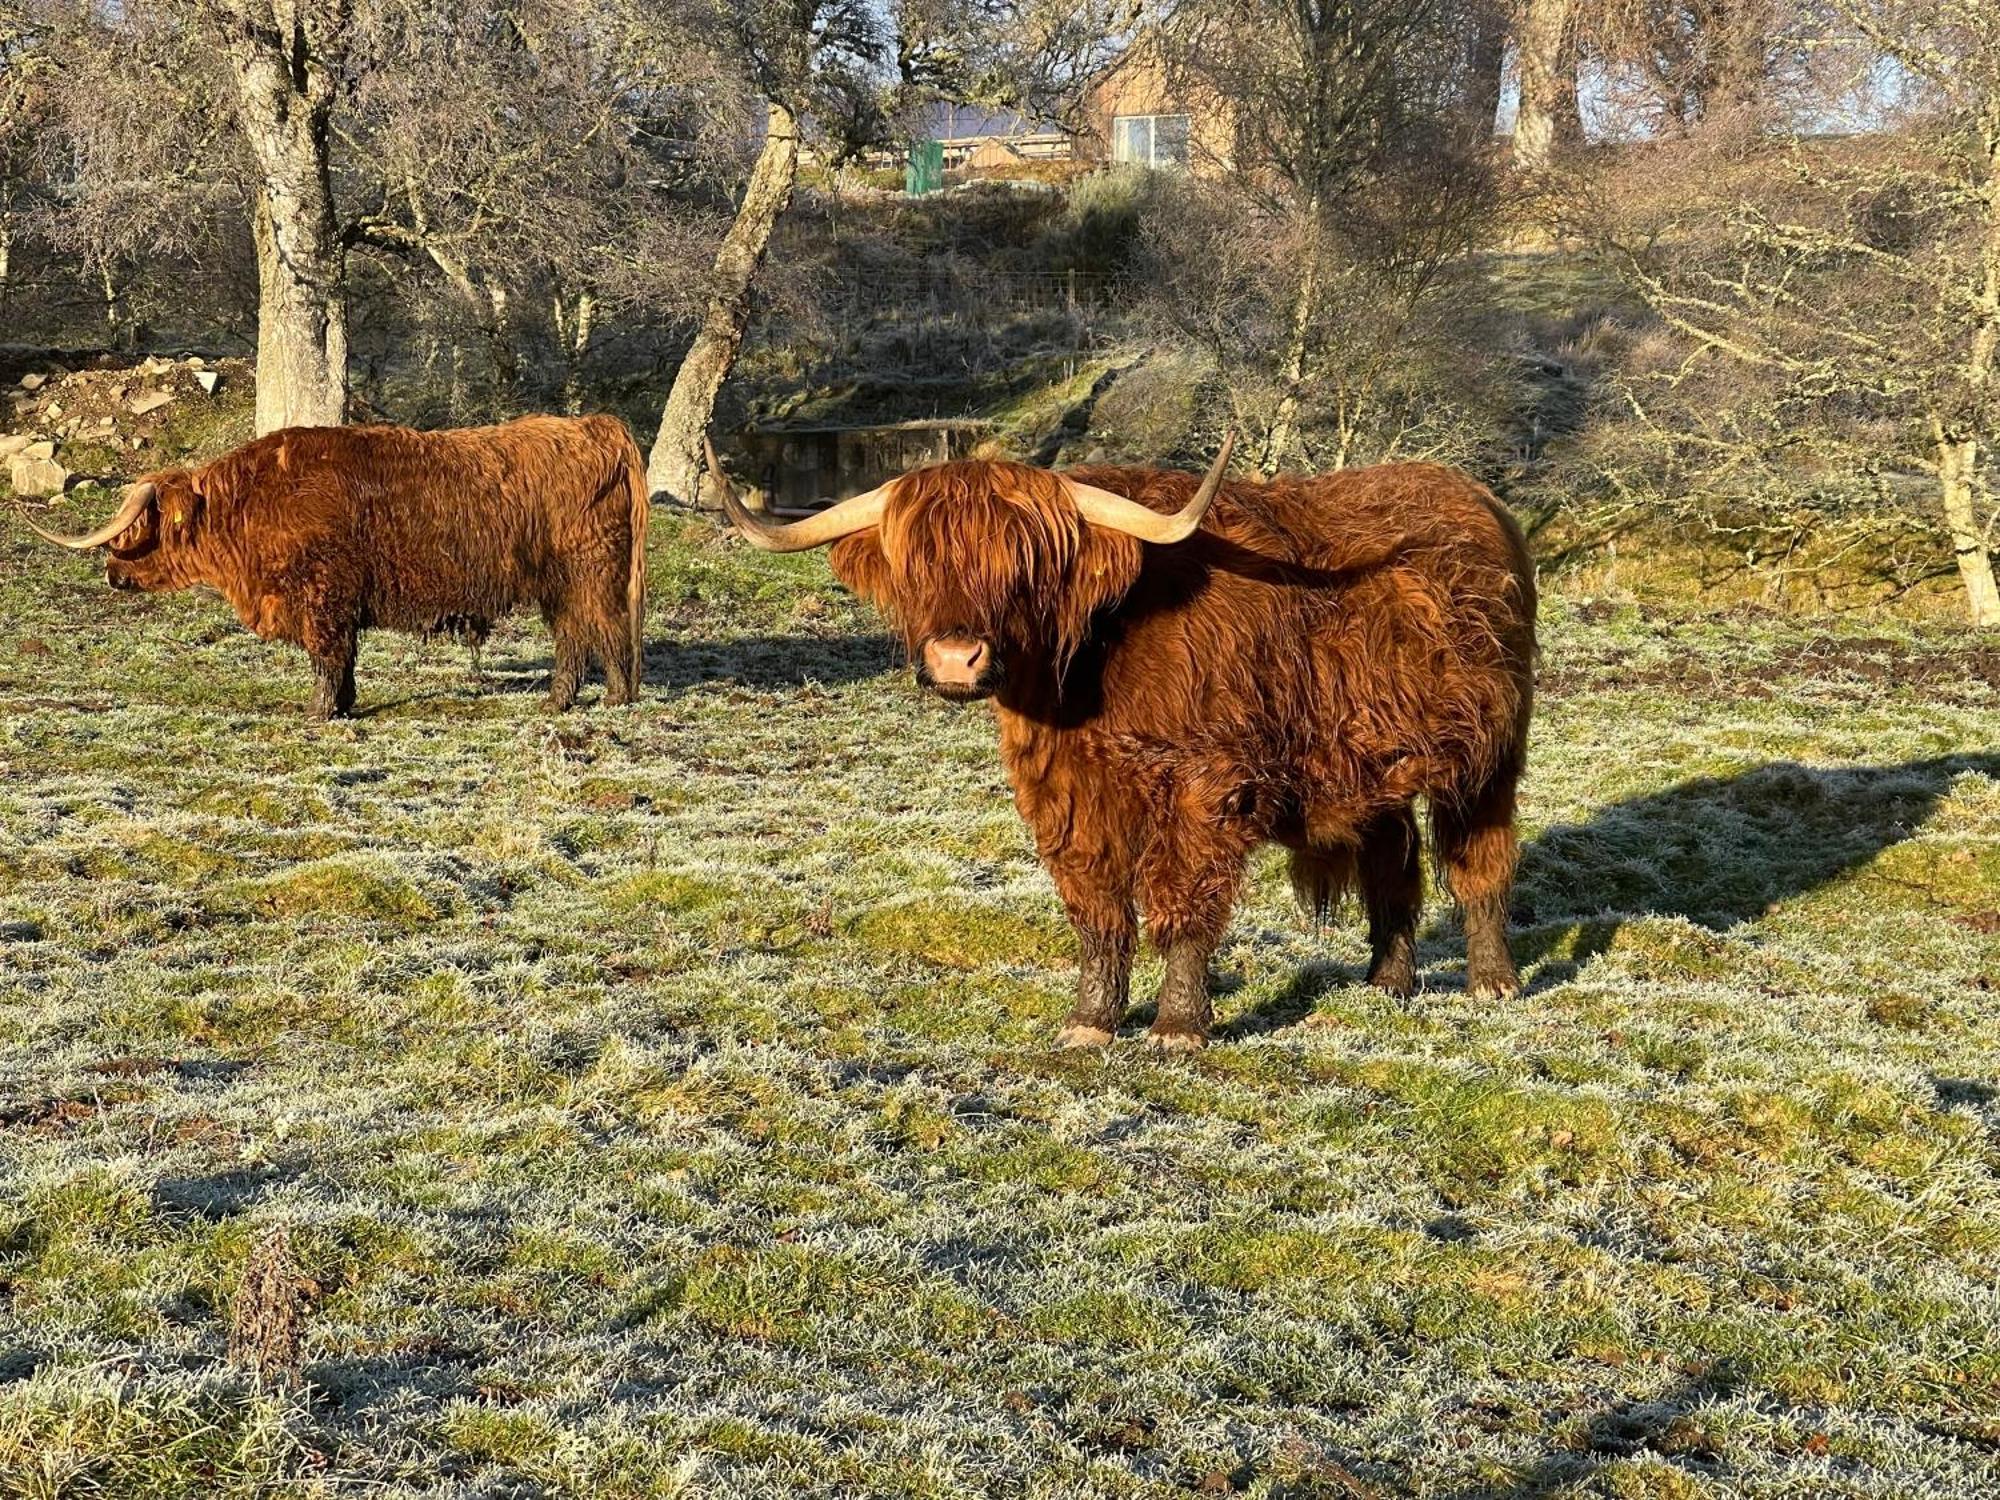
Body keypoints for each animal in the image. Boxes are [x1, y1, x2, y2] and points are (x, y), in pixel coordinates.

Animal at [23, 418, 648, 724]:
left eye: (133, 530)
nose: (111, 573)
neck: (248, 506)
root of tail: (598, 426)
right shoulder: (337, 603)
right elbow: (344, 660)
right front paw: (344, 705)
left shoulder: (322, 596)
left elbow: (327, 657)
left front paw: (320, 713)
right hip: (562, 584)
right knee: (576, 636)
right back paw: (559, 701)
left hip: (589, 571)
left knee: (605, 629)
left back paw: (611, 699)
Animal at [720, 432, 1528, 1048]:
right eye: (918, 566)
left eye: (1026, 567)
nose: (956, 659)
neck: (1090, 669)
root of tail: (1475, 495)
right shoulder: (1067, 791)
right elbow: (1098, 910)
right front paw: (1091, 1022)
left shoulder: (1207, 786)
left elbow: (1183, 900)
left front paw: (1177, 1027)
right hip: (1374, 760)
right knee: (1393, 860)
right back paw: (1387, 983)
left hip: (1492, 752)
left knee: (1479, 857)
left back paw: (1491, 981)